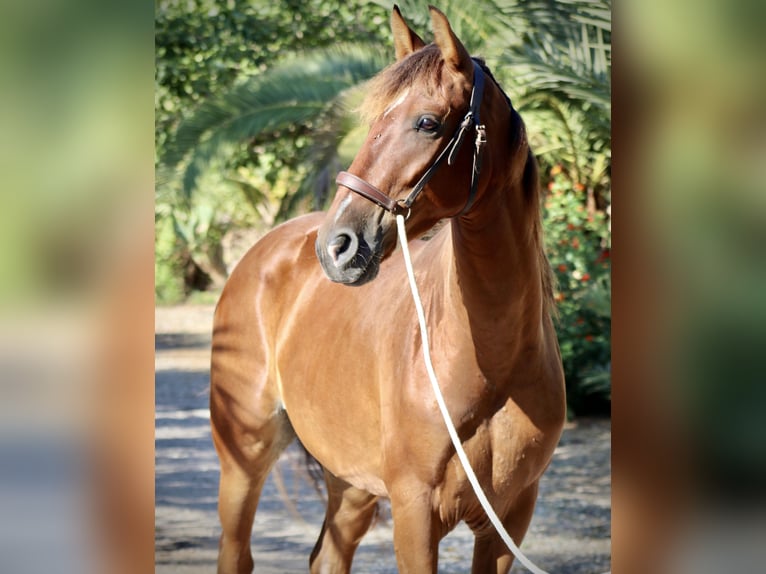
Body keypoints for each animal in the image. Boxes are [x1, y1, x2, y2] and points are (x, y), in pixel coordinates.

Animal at [208, 5, 564, 574]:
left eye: (427, 122)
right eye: (373, 121)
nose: (336, 246)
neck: (493, 364)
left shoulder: (510, 520)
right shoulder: (414, 511)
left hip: (349, 480)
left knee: (328, 556)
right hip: (244, 455)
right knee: (237, 552)